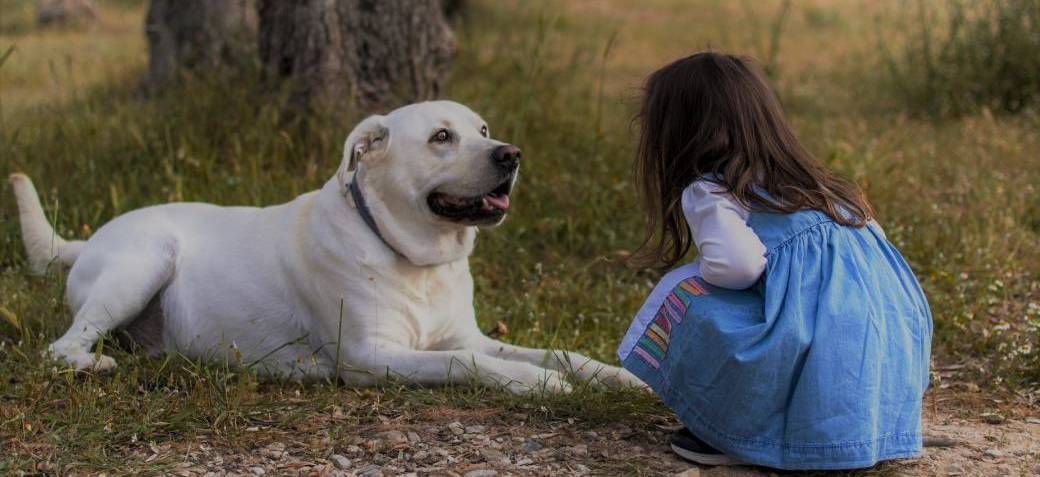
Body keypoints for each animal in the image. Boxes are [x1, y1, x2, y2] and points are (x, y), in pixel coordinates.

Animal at [10, 100, 640, 394]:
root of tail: (89, 239)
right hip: (145, 259)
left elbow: (557, 352)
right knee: (60, 347)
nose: (511, 154)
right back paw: (93, 364)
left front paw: (616, 376)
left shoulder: (467, 334)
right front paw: (537, 385)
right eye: (441, 137)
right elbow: (466, 363)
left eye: (482, 130)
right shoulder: (371, 356)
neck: (416, 259)